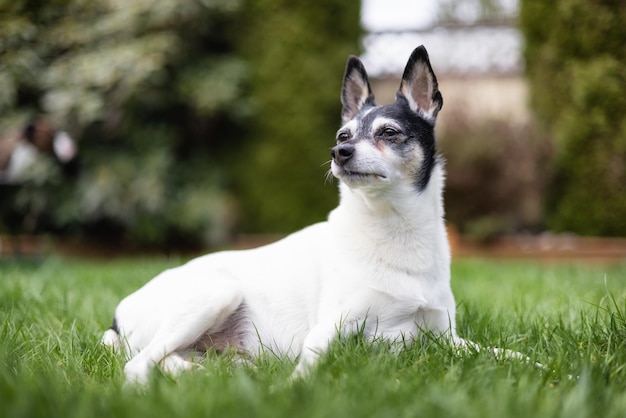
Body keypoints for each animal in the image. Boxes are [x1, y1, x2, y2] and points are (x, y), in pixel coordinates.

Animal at [102, 45, 472, 382]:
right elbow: (311, 363)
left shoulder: (447, 337)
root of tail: (118, 315)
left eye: (389, 132)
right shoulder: (332, 329)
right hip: (216, 293)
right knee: (140, 364)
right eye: (343, 135)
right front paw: (294, 389)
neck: (394, 228)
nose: (339, 152)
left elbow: (484, 352)